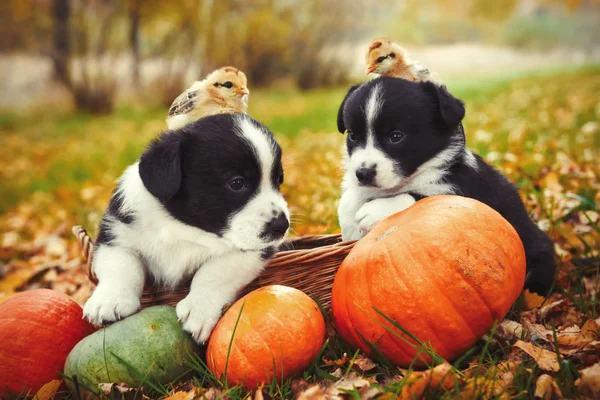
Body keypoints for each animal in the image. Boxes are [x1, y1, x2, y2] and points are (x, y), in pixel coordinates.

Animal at [84, 113, 290, 344]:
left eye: (279, 179)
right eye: (237, 183)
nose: (282, 225)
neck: (184, 226)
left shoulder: (253, 250)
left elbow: (214, 271)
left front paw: (199, 309)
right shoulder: (114, 235)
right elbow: (122, 265)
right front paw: (109, 301)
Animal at [338, 78, 556, 296]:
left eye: (396, 136)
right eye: (353, 135)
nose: (363, 173)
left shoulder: (464, 190)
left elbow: (418, 196)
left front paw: (374, 210)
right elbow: (348, 201)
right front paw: (349, 226)